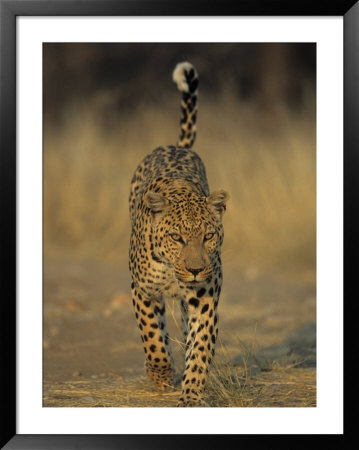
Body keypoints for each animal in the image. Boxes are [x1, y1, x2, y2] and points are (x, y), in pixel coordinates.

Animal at [129, 60, 229, 408]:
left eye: (209, 236)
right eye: (176, 238)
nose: (196, 269)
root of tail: (176, 146)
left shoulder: (204, 299)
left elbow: (200, 348)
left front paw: (192, 394)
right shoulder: (142, 289)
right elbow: (151, 334)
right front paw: (160, 373)